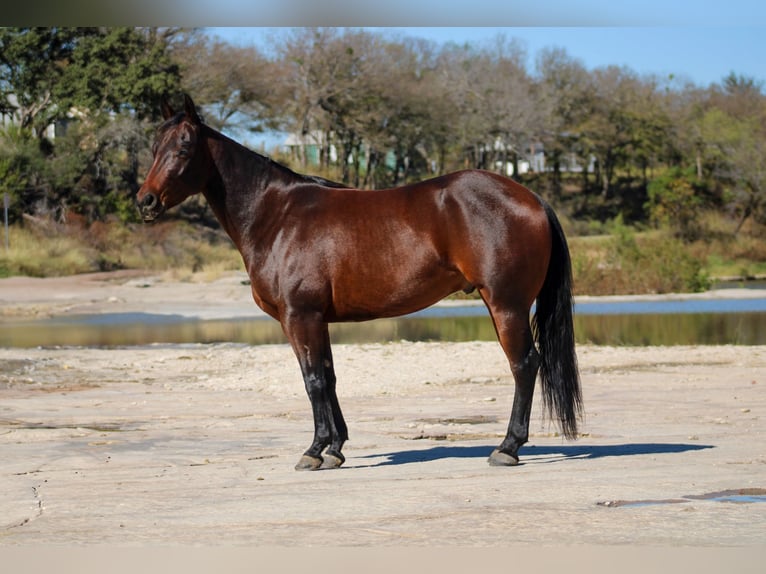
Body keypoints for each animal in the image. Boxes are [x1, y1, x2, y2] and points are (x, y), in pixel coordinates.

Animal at [138, 95, 584, 472]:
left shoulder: (299, 317)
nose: (145, 201)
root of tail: (531, 198)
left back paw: (507, 448)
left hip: (507, 305)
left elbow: (313, 380)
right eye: (154, 147)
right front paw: (335, 449)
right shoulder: (317, 320)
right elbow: (329, 377)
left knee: (524, 365)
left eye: (183, 148)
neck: (278, 216)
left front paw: (314, 451)